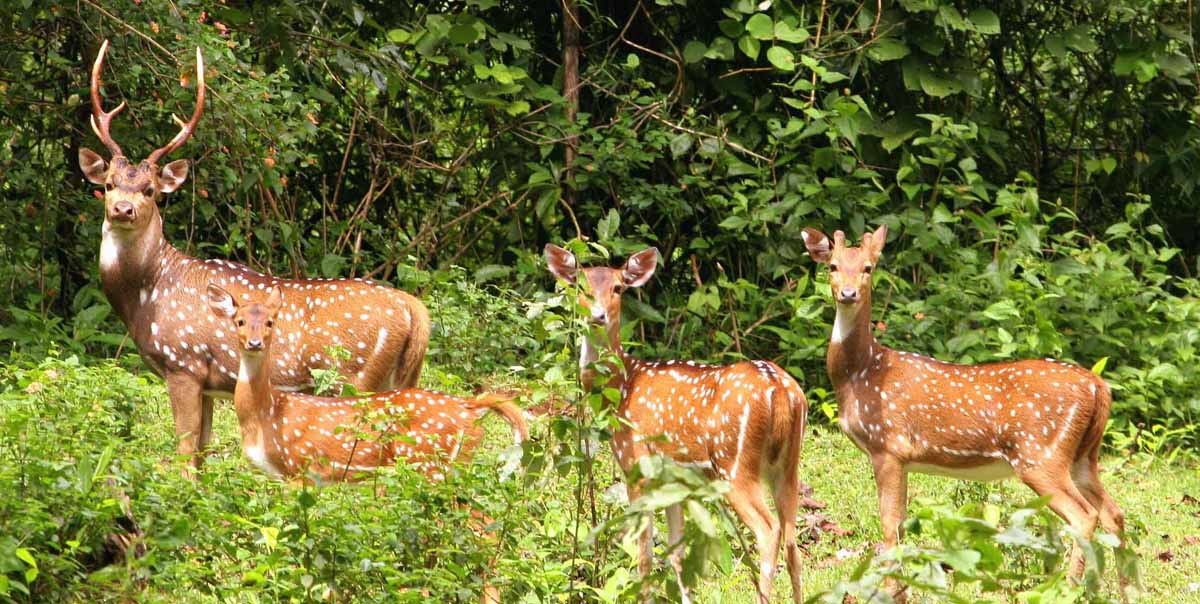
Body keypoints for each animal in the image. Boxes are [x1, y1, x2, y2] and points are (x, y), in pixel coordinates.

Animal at [78, 40, 432, 470]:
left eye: (150, 190)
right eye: (110, 184)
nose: (122, 210)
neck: (147, 295)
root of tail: (413, 309)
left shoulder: (183, 363)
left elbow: (184, 455)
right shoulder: (209, 383)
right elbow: (202, 454)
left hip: (355, 375)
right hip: (401, 376)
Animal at [549, 244, 811, 604]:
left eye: (618, 287)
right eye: (581, 287)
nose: (598, 315)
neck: (622, 387)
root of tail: (782, 391)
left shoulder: (636, 465)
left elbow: (644, 554)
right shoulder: (674, 482)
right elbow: (676, 553)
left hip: (733, 463)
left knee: (769, 530)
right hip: (787, 464)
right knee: (793, 540)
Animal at [801, 225, 1128, 600]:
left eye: (868, 268)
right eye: (833, 266)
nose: (848, 293)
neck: (861, 372)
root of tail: (1099, 387)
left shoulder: (888, 446)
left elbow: (889, 525)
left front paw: (889, 591)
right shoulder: (899, 457)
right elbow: (899, 523)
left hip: (1040, 453)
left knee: (1084, 516)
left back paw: (1067, 589)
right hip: (1083, 457)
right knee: (1114, 513)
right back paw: (1128, 590)